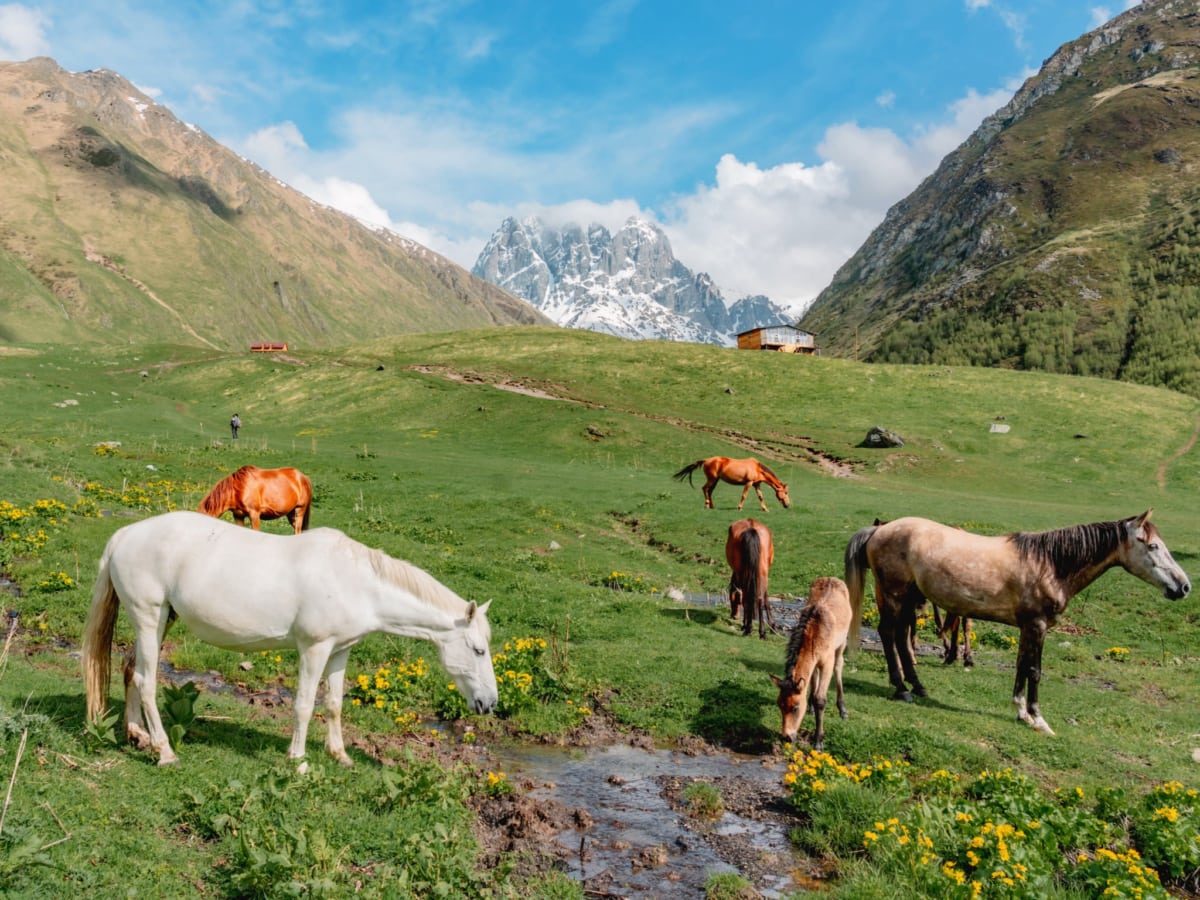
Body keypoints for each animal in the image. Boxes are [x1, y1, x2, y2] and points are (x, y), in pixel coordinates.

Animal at [83, 513, 496, 768]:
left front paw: (340, 755)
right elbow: (303, 706)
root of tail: (126, 535)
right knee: (146, 681)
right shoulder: (314, 649)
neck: (357, 582)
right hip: (149, 617)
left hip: (160, 621)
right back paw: (165, 752)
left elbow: (333, 705)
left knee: (130, 669)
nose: (489, 704)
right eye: (478, 650)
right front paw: (297, 760)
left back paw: (137, 735)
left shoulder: (340, 651)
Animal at [768, 578, 854, 748]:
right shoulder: (814, 661)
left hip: (842, 644)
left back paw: (843, 710)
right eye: (779, 704)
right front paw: (811, 708)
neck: (815, 634)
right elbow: (812, 688)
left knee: (839, 666)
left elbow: (820, 698)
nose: (787, 737)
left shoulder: (827, 662)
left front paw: (818, 741)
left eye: (795, 707)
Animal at [844, 511, 1190, 734]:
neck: (1050, 563)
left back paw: (917, 686)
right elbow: (1034, 670)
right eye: (1153, 546)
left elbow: (1022, 666)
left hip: (909, 599)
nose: (1184, 586)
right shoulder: (1036, 625)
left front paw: (1021, 712)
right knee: (889, 633)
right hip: (894, 595)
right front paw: (1038, 719)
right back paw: (901, 687)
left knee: (903, 637)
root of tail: (880, 530)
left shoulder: (1029, 627)